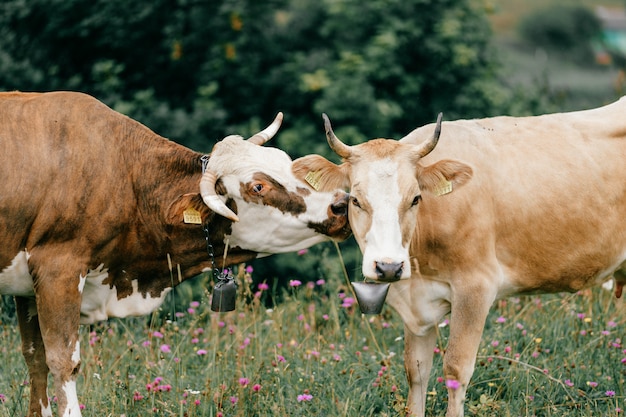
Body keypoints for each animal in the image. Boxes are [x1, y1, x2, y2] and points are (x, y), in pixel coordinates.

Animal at [0, 92, 352, 416]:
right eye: (258, 187)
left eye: (286, 162)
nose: (340, 204)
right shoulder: (58, 268)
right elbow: (62, 361)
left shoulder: (28, 288)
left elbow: (35, 359)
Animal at [292, 100, 624, 416]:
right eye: (356, 200)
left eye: (415, 198)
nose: (388, 266)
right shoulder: (415, 304)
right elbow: (416, 371)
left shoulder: (475, 288)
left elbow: (455, 368)